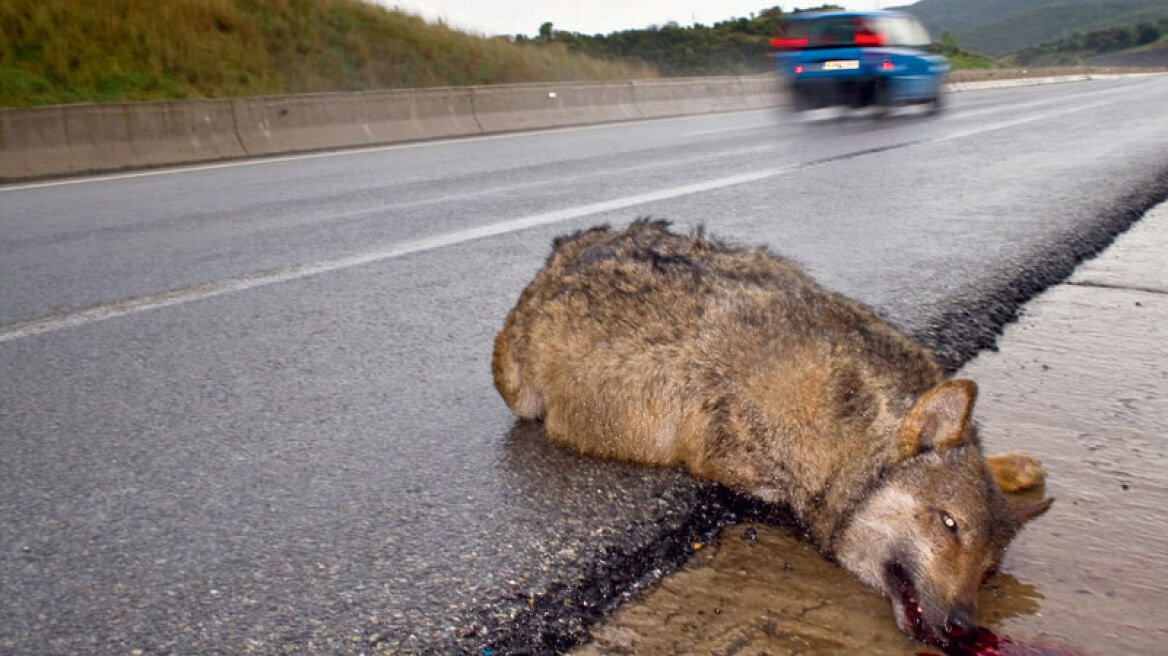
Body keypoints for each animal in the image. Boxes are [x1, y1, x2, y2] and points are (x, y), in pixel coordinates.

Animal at [488, 218, 1055, 644]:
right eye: (950, 525)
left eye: (988, 571)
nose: (964, 626)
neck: (849, 422)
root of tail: (560, 252)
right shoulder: (738, 459)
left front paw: (1011, 466)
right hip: (520, 389)